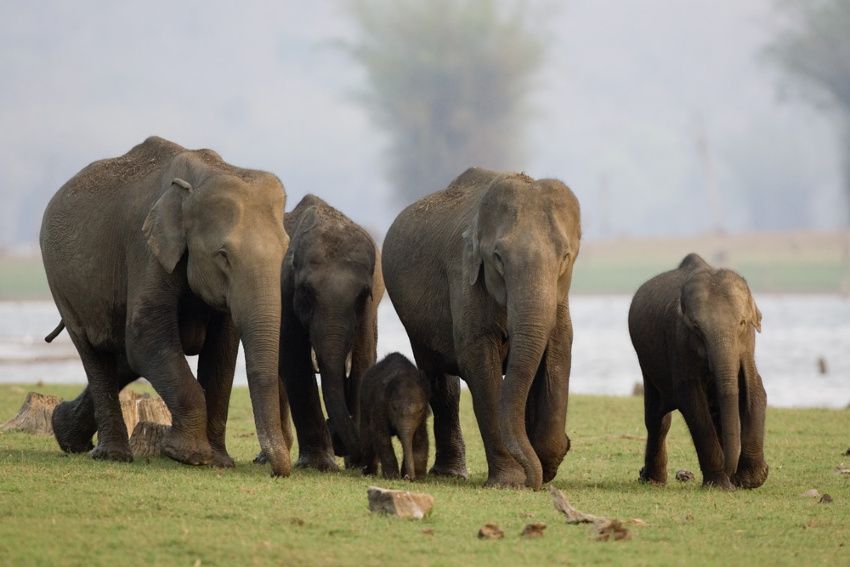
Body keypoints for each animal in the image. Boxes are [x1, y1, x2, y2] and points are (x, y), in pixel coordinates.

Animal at [39, 135, 292, 478]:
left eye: (285, 250)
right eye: (223, 255)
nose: (277, 470)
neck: (203, 176)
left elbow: (222, 351)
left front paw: (219, 461)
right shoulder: (146, 251)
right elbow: (145, 336)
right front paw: (190, 456)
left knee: (124, 358)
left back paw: (65, 430)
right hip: (62, 285)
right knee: (95, 353)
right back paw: (112, 454)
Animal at [260, 194, 382, 470]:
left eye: (362, 295)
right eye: (306, 291)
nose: (338, 442)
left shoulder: (368, 311)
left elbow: (364, 360)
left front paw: (360, 464)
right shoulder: (285, 289)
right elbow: (293, 358)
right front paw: (319, 465)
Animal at [356, 352, 428, 482]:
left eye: (420, 410)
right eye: (393, 408)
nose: (409, 478)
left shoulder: (422, 417)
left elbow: (420, 437)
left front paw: (419, 478)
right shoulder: (379, 404)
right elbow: (381, 435)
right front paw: (392, 477)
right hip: (363, 403)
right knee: (367, 436)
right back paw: (368, 473)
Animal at [380, 166, 580, 490]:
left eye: (565, 257)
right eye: (497, 258)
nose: (534, 481)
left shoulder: (560, 295)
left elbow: (558, 352)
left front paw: (547, 466)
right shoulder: (465, 278)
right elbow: (480, 366)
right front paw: (510, 482)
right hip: (415, 324)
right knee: (440, 382)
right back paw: (450, 473)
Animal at [624, 255, 768, 490]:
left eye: (742, 323)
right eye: (696, 328)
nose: (732, 474)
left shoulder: (747, 345)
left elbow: (755, 390)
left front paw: (749, 480)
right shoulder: (679, 342)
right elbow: (692, 401)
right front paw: (721, 485)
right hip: (646, 362)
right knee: (657, 419)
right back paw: (652, 480)